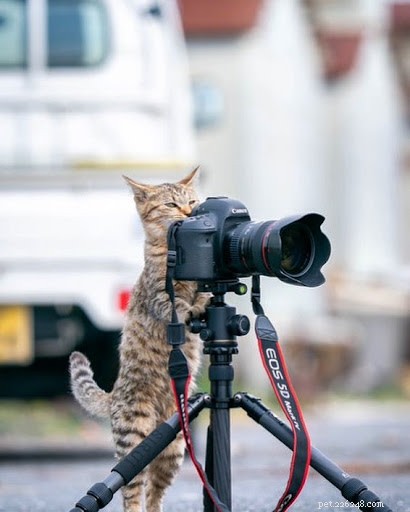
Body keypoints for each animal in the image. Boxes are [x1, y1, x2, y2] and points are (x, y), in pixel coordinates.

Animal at [69, 169, 210, 512]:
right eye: (171, 204)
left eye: (192, 202)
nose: (188, 214)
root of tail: (114, 395)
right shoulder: (160, 296)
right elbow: (179, 305)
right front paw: (194, 306)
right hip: (134, 436)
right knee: (131, 492)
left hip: (173, 448)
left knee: (154, 494)